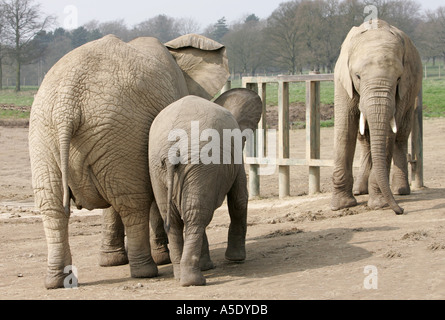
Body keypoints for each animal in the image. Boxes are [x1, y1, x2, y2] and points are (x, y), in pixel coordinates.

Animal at [28, 33, 229, 290]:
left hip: (49, 134)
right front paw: (161, 257)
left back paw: (56, 281)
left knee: (53, 205)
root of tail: (67, 101)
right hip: (118, 131)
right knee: (133, 203)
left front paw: (111, 261)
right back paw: (146, 271)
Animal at [147, 89, 262, 286]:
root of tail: (172, 148)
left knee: (176, 218)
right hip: (200, 164)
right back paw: (193, 280)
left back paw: (181, 276)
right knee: (196, 216)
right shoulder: (235, 159)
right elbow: (239, 199)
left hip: (157, 166)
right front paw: (236, 259)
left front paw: (208, 265)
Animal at [332, 19, 422, 215]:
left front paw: (379, 205)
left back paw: (400, 191)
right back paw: (359, 191)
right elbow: (345, 129)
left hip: (412, 92)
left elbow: (388, 133)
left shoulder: (402, 90)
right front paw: (341, 205)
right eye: (357, 76)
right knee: (364, 138)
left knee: (401, 134)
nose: (400, 210)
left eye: (398, 78)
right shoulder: (343, 82)